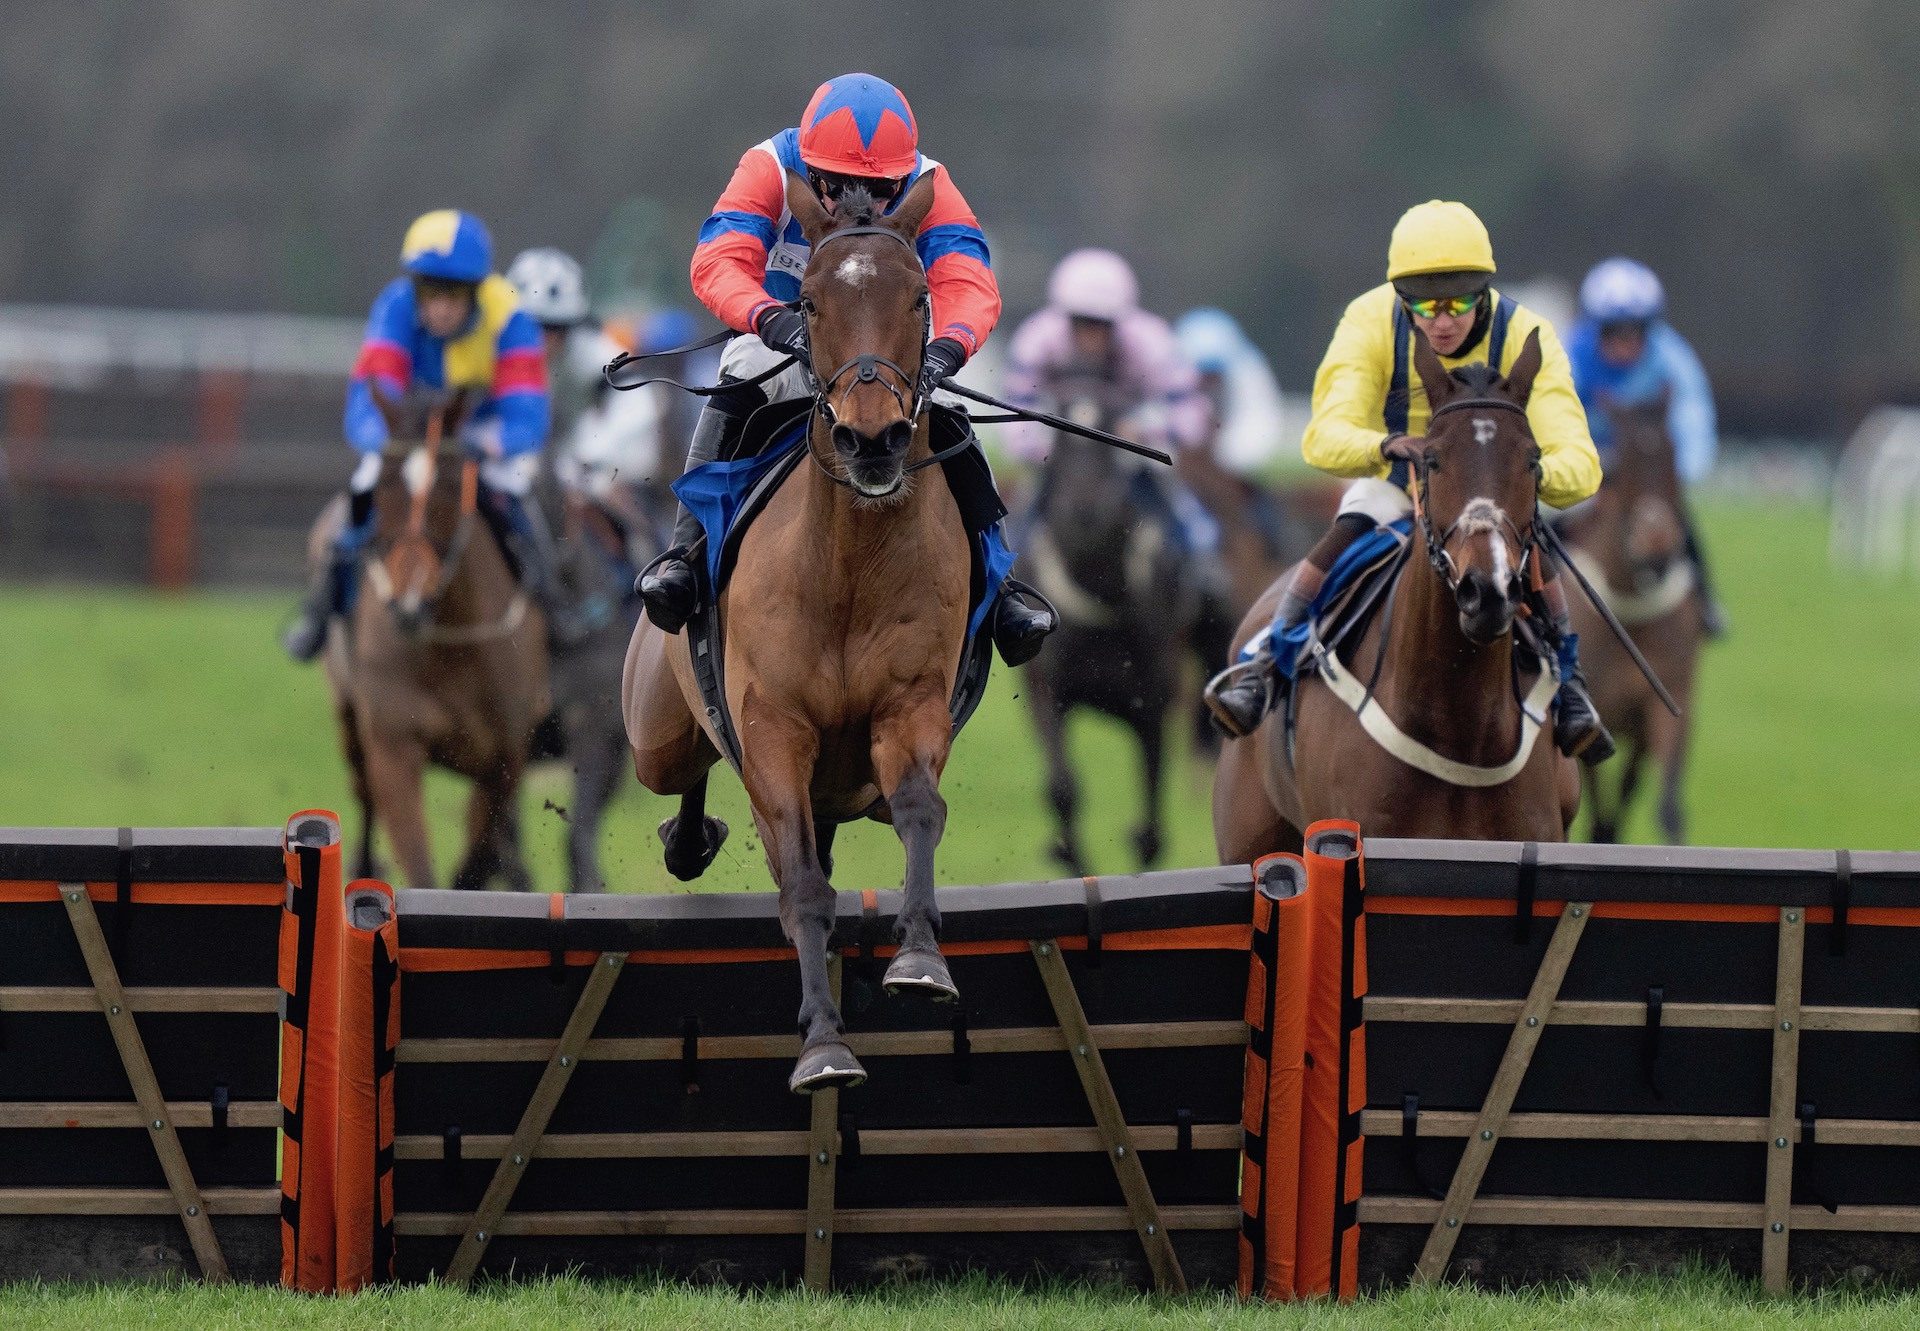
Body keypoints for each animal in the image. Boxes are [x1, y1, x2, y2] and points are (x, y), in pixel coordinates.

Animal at [309, 393, 545, 891]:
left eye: (452, 488)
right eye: (381, 487)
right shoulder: (393, 748)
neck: (449, 646)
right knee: (363, 795)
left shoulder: (507, 757)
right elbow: (419, 864)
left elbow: (477, 859)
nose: (409, 603)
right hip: (349, 717)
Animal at [622, 170, 967, 1098]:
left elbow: (919, 807)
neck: (848, 563)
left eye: (919, 296)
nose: (872, 438)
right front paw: (822, 1043)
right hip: (657, 731)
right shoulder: (775, 725)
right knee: (694, 774)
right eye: (807, 302)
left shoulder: (910, 705)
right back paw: (689, 838)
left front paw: (920, 957)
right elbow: (805, 887)